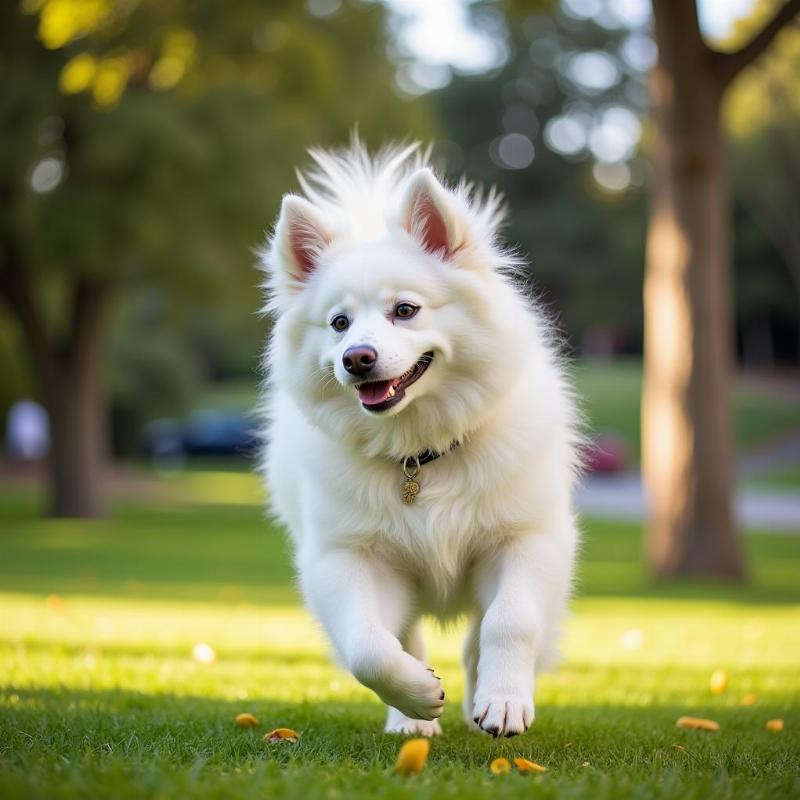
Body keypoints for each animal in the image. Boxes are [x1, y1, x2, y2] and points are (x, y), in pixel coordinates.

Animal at [260, 139, 580, 736]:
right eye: (338, 323)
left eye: (404, 310)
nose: (356, 358)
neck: (419, 455)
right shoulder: (347, 557)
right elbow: (368, 646)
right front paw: (416, 695)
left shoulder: (527, 539)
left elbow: (508, 621)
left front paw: (502, 700)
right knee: (403, 636)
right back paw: (411, 720)